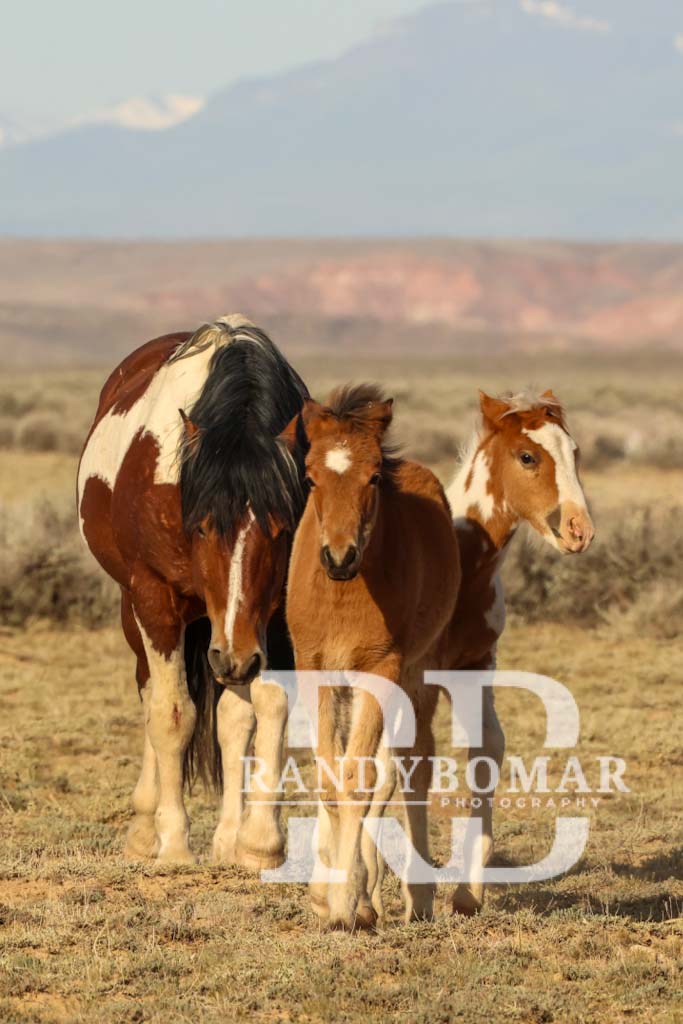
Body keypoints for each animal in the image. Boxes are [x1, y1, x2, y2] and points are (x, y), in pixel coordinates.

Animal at [77, 314, 308, 868]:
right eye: (202, 526)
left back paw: (225, 838)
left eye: (281, 529)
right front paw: (175, 843)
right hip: (141, 613)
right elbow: (171, 715)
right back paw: (145, 829)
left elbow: (261, 710)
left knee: (229, 714)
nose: (237, 659)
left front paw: (256, 843)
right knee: (149, 690)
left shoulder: (268, 619)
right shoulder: (155, 599)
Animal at [283, 385, 461, 929]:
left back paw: (410, 896)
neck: (344, 594)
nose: (339, 558)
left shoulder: (381, 670)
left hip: (415, 676)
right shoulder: (314, 668)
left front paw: (346, 904)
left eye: (375, 476)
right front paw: (328, 897)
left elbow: (362, 777)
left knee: (407, 768)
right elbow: (329, 774)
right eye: (310, 477)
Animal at [442, 388, 595, 914]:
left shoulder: (475, 667)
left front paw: (469, 891)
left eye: (575, 453)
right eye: (527, 457)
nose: (579, 530)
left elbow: (487, 748)